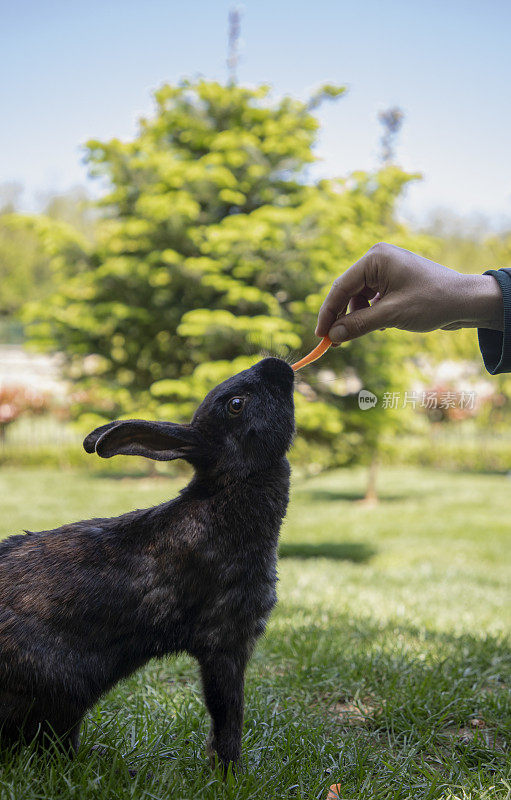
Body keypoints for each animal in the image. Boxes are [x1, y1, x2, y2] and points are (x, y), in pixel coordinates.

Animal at [0, 360, 296, 772]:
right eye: (236, 404)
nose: (278, 366)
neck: (227, 487)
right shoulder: (225, 641)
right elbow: (227, 714)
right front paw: (229, 773)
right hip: (62, 691)